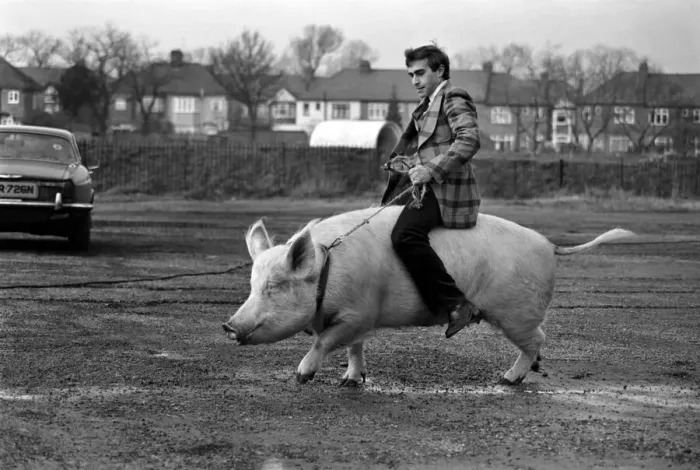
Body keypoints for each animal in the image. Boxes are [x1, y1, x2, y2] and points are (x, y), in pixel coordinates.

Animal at [222, 205, 634, 386]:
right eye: (252, 285)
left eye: (274, 286)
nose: (228, 325)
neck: (327, 270)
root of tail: (550, 245)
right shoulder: (359, 320)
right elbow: (354, 348)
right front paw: (351, 381)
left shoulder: (358, 312)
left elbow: (325, 341)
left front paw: (301, 376)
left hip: (516, 311)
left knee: (538, 340)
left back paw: (508, 380)